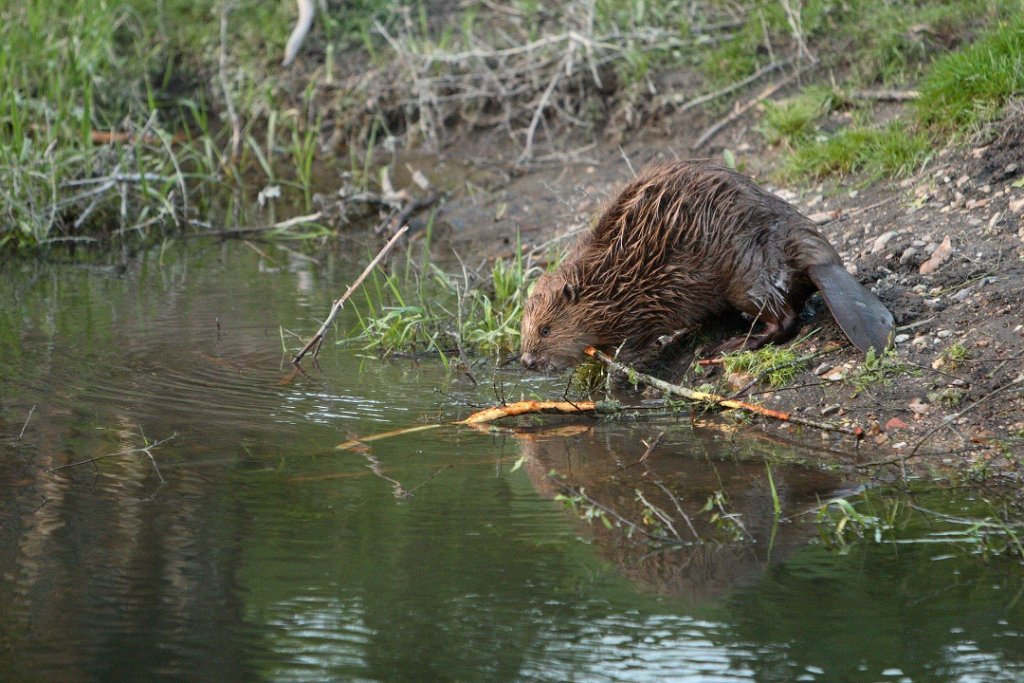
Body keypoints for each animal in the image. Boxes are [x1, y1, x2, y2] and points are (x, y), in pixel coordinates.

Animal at [524, 158, 892, 374]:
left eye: (545, 329)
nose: (527, 361)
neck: (607, 279)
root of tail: (823, 261)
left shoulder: (642, 304)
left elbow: (635, 345)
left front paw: (616, 370)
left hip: (747, 274)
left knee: (784, 318)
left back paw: (734, 345)